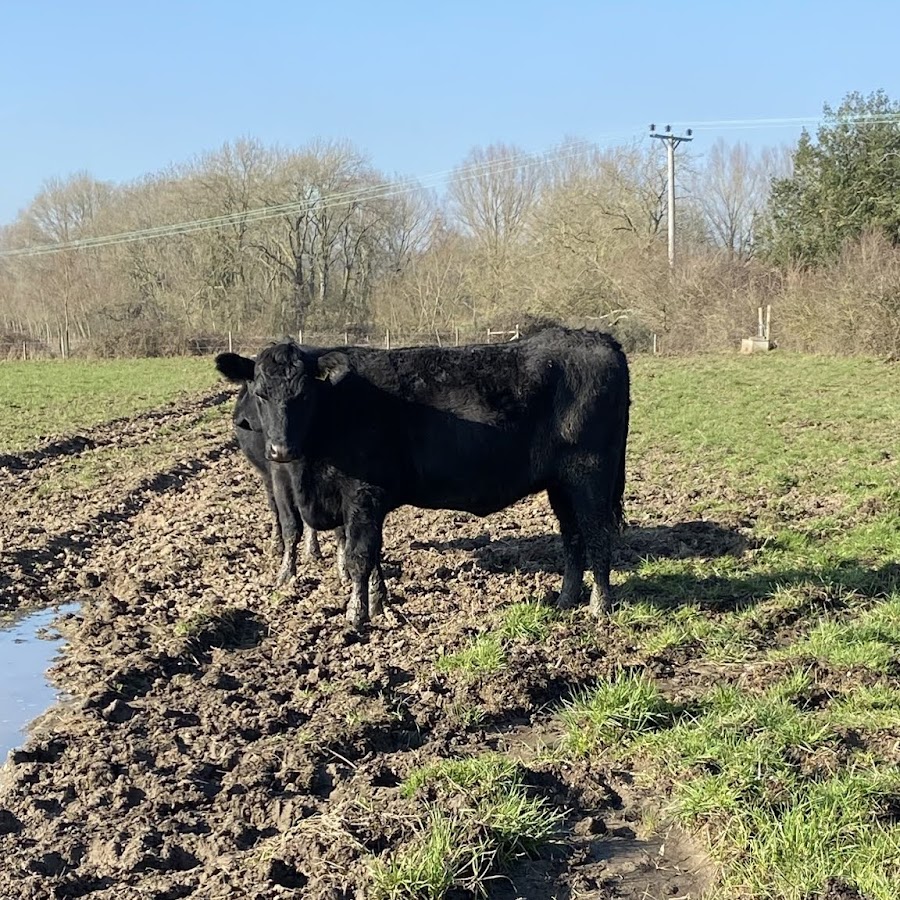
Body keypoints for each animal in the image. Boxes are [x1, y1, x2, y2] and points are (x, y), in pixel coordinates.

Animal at [215, 326, 629, 628]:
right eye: (261, 392)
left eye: (302, 395)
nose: (279, 450)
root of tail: (596, 337)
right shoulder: (355, 502)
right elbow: (369, 554)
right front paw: (378, 604)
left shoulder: (363, 494)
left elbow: (359, 556)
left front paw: (356, 616)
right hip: (561, 485)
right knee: (573, 538)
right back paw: (565, 601)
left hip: (590, 475)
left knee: (597, 535)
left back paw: (599, 608)